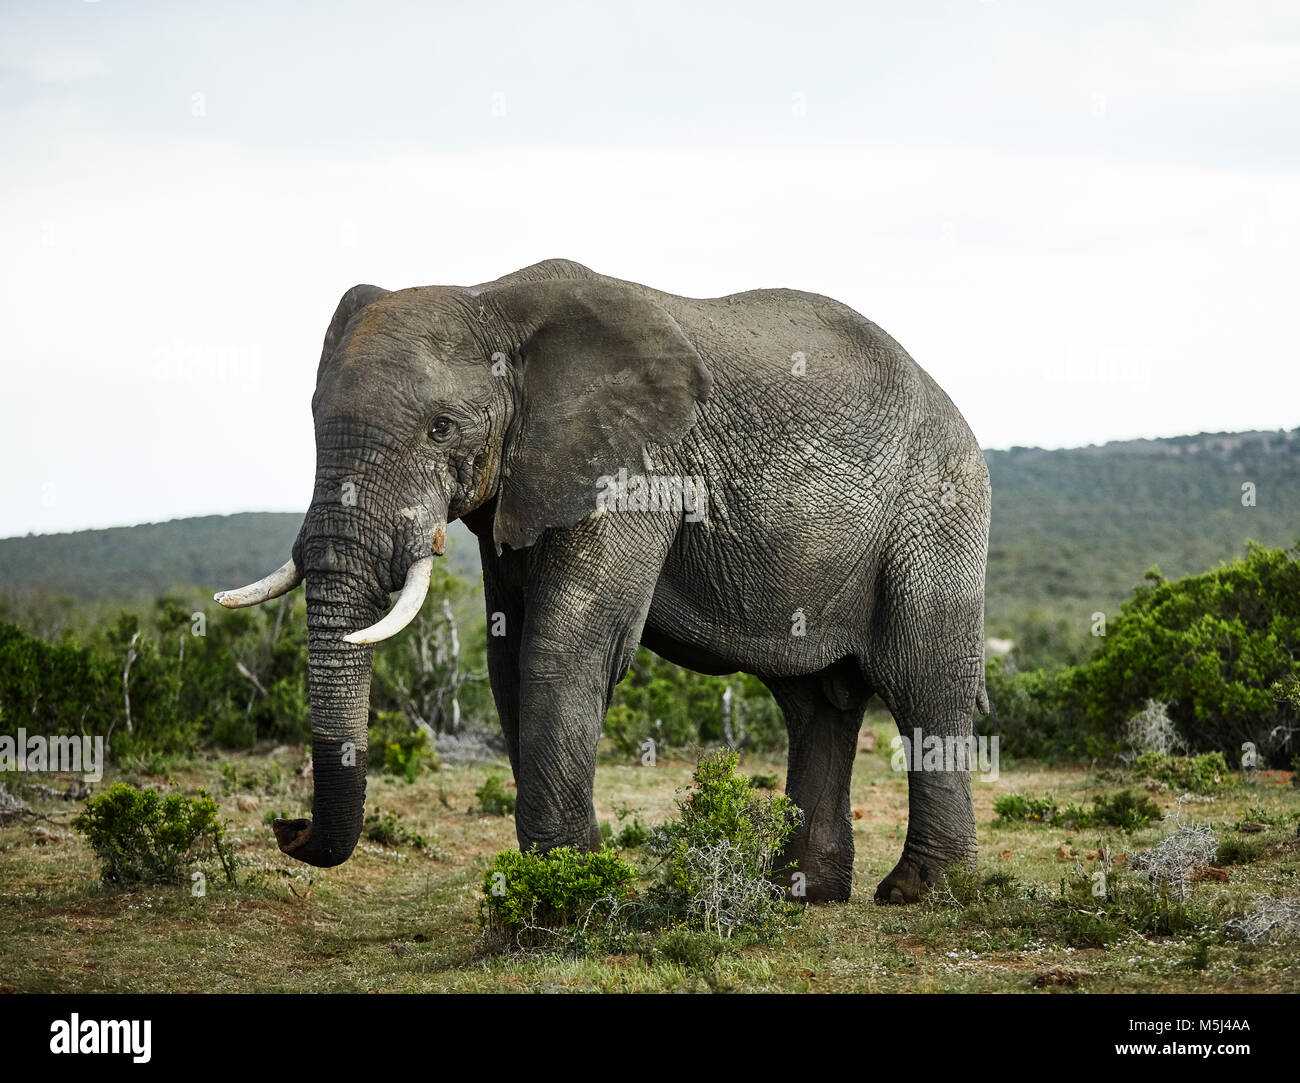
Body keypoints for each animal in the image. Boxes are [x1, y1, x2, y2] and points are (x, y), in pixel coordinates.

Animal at [216, 258, 991, 904]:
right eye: (313, 424)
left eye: (441, 428)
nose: (287, 829)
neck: (492, 298)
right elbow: (508, 656)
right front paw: (571, 876)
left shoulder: (639, 466)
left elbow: (566, 644)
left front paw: (562, 899)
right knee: (815, 702)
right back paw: (797, 894)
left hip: (937, 504)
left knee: (923, 679)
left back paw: (917, 892)